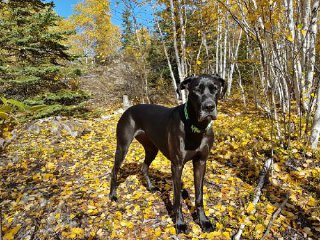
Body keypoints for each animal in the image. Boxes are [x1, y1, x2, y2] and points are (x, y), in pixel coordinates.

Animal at [110, 74, 225, 233]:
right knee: (114, 170)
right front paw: (180, 223)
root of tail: (129, 109)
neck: (195, 126)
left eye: (215, 89)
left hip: (152, 148)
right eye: (196, 90)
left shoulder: (201, 162)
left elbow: (199, 196)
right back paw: (113, 195)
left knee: (144, 167)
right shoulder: (177, 165)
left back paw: (151, 187)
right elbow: (177, 199)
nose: (209, 107)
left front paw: (204, 221)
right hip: (122, 147)